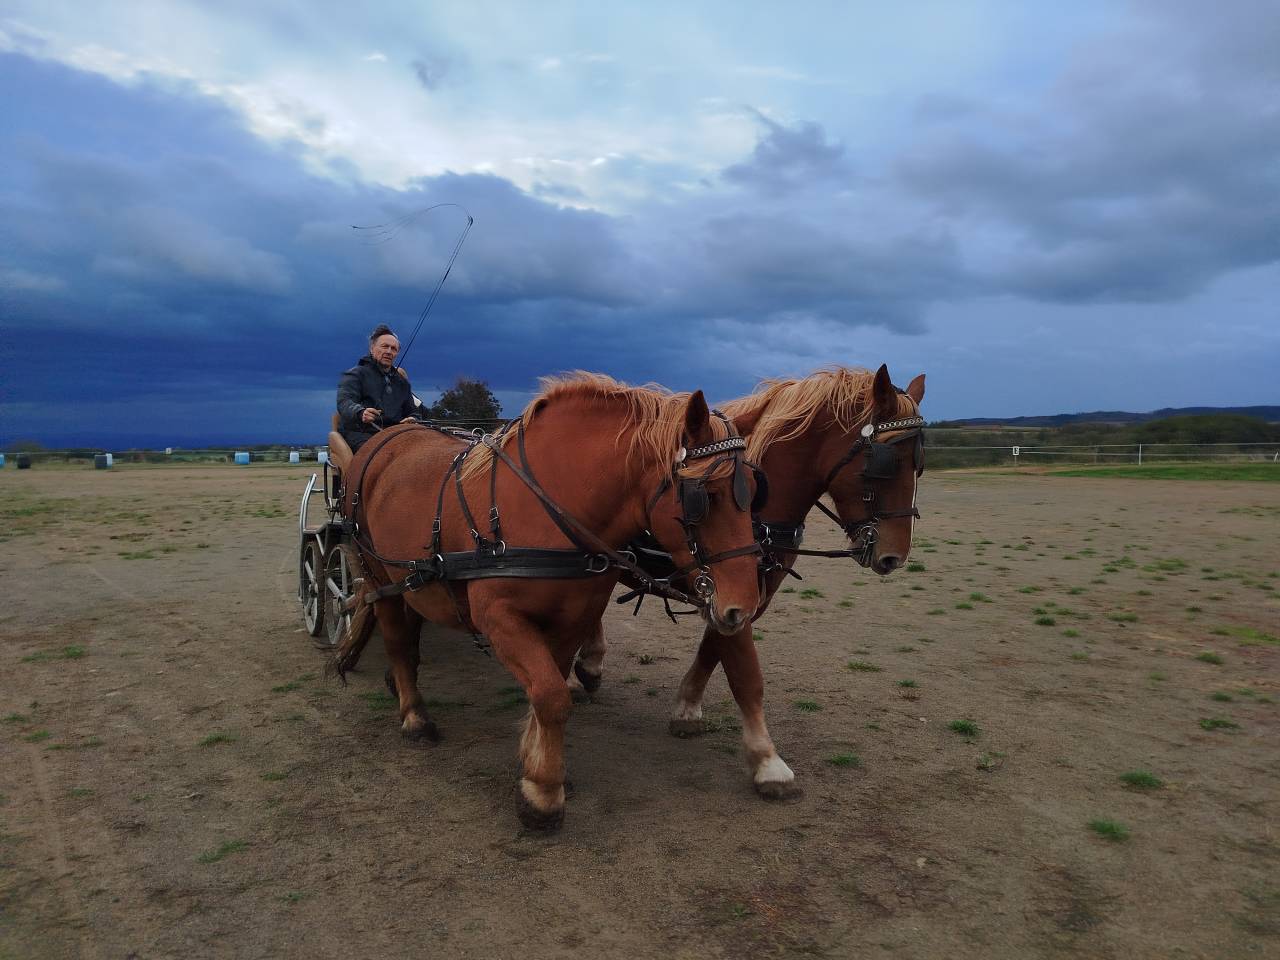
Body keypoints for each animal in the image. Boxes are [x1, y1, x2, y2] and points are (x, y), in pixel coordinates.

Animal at [334, 373, 764, 830]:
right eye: (706, 495)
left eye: (756, 490)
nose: (743, 606)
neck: (550, 508)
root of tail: (386, 436)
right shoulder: (499, 619)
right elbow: (553, 697)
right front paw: (542, 793)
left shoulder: (573, 620)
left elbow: (548, 691)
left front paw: (535, 765)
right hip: (378, 576)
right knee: (398, 642)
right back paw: (414, 716)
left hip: (412, 584)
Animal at [572, 364, 926, 800]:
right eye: (888, 461)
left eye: (920, 464)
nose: (894, 556)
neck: (758, 514)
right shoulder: (727, 590)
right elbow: (746, 675)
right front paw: (767, 761)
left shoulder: (739, 600)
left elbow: (713, 652)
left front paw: (687, 708)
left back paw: (589, 664)